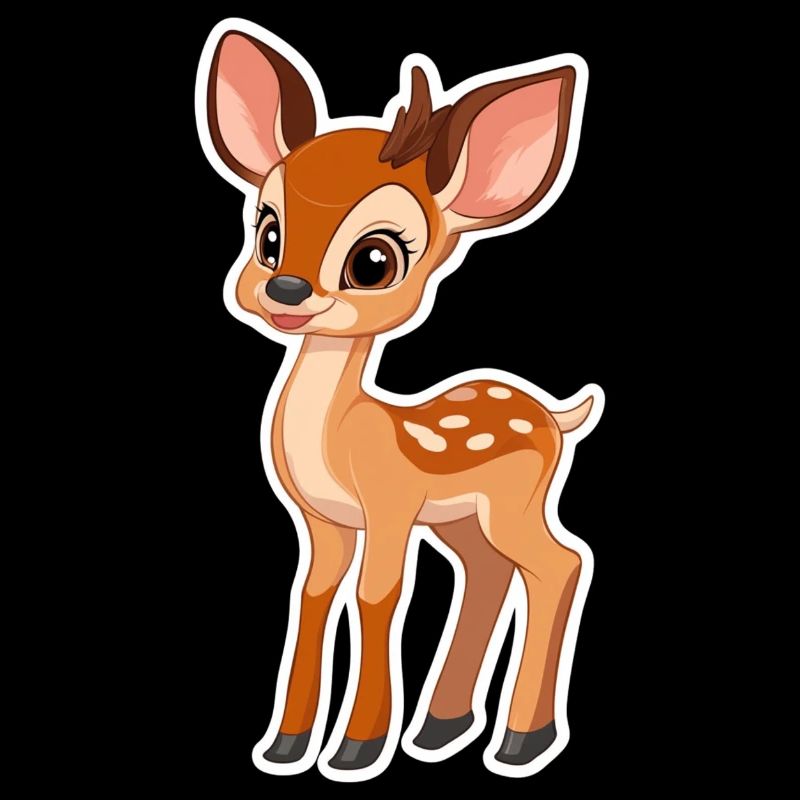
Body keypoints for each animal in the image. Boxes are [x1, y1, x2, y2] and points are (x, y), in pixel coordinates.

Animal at [197, 21, 602, 781]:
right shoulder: (323, 523)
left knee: (561, 562)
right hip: (464, 520)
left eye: (375, 260)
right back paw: (442, 728)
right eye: (268, 232)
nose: (286, 291)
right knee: (489, 570)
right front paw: (286, 744)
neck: (339, 434)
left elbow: (377, 597)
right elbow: (314, 598)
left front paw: (356, 749)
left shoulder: (388, 508)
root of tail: (552, 414)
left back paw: (520, 739)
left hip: (513, 503)